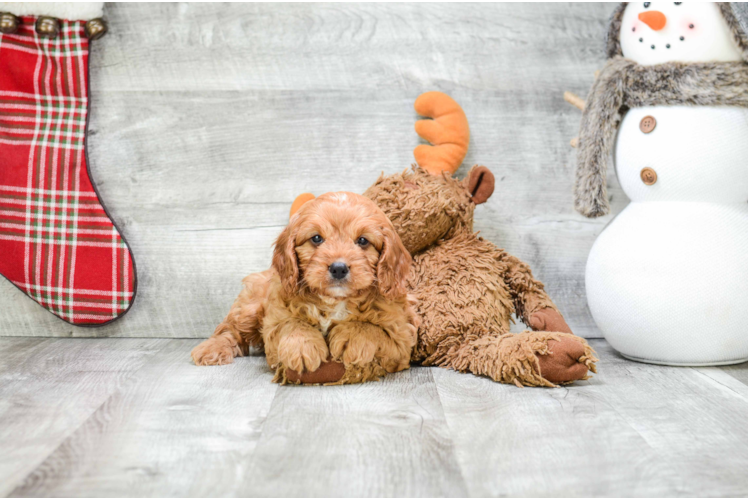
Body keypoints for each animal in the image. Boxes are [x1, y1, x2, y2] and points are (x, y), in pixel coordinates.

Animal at [190, 191, 418, 382]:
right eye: (316, 238)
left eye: (363, 241)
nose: (338, 268)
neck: (334, 301)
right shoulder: (274, 320)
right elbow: (292, 323)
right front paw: (302, 347)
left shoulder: (402, 337)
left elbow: (372, 328)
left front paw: (352, 337)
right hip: (250, 307)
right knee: (229, 328)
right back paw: (211, 349)